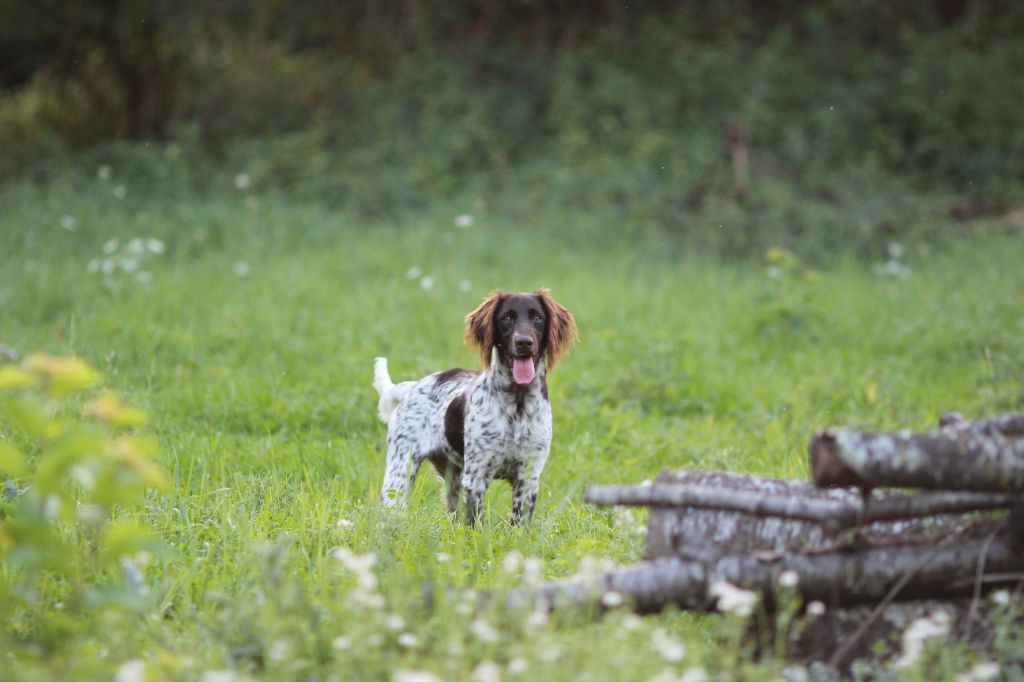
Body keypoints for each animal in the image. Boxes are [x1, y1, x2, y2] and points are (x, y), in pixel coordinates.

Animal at [372, 288, 577, 522]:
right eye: (506, 318)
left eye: (537, 318)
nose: (524, 342)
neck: (518, 401)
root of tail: (412, 387)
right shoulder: (476, 477)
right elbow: (475, 522)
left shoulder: (528, 478)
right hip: (399, 474)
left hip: (452, 478)